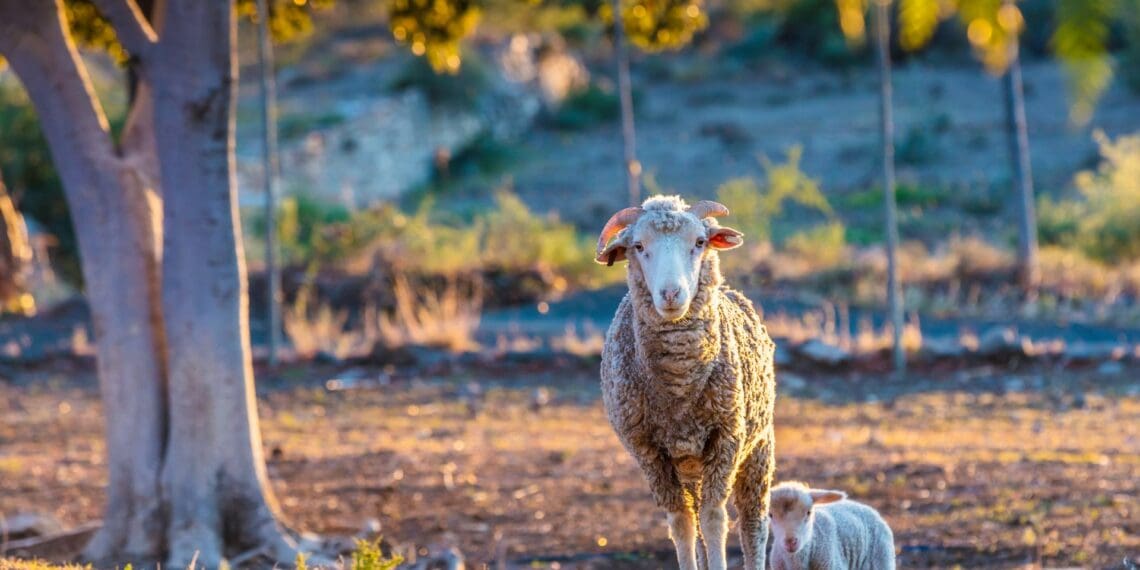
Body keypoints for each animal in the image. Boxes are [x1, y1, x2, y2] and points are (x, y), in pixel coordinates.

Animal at [595, 195, 776, 570]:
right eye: (638, 246)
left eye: (699, 242)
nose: (671, 293)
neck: (679, 385)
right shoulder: (648, 452)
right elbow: (681, 523)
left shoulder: (727, 438)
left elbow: (714, 519)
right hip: (690, 466)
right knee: (697, 524)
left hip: (758, 447)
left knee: (753, 524)